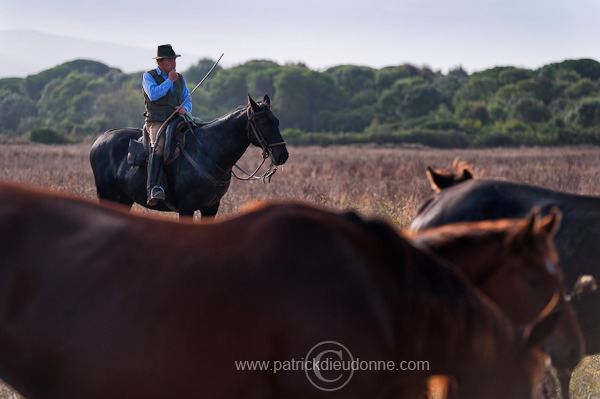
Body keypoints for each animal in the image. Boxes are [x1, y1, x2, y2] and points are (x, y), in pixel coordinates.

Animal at [89, 94, 290, 219]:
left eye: (277, 121)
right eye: (262, 122)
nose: (282, 155)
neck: (208, 152)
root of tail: (99, 140)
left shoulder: (211, 208)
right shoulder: (186, 208)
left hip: (124, 200)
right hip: (107, 196)